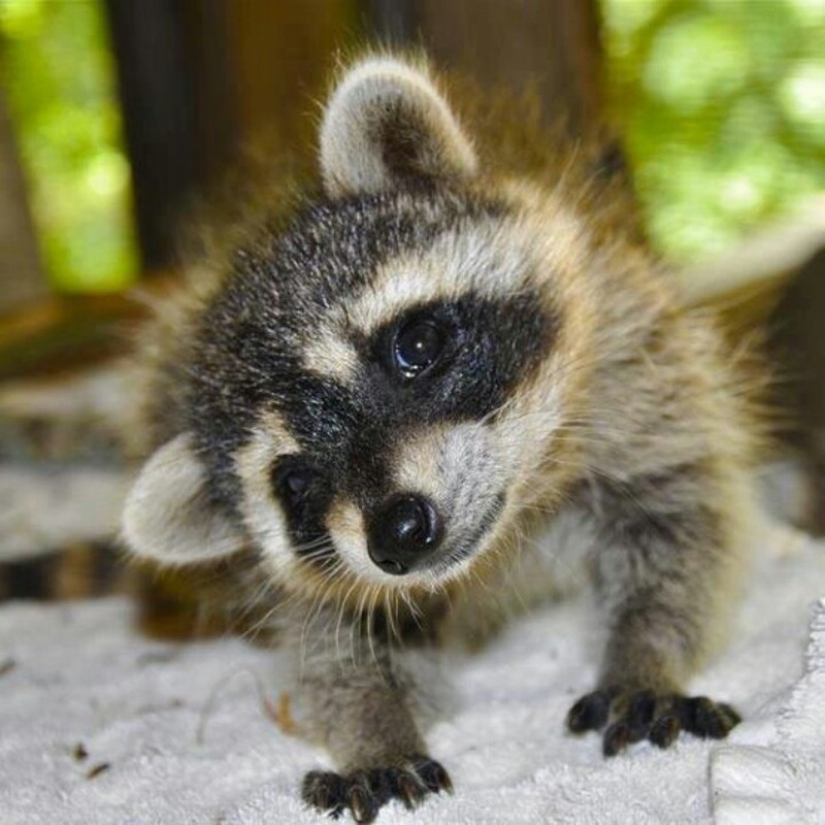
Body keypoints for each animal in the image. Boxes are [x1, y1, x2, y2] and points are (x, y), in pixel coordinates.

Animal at [121, 55, 755, 822]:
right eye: (296, 482)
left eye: (415, 345)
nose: (397, 531)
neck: (507, 533)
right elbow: (336, 640)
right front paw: (373, 729)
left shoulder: (633, 358)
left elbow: (679, 524)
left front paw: (645, 653)